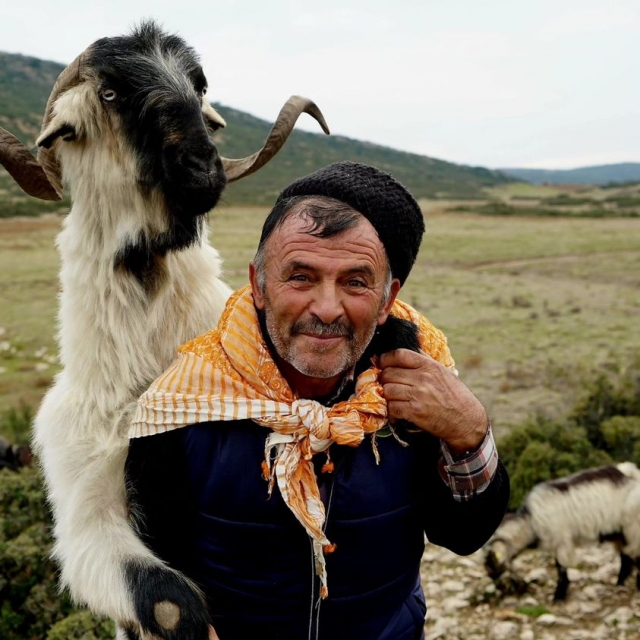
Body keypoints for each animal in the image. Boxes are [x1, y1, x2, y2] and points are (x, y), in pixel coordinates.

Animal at [0, 20, 330, 640]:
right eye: (110, 94)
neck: (144, 371)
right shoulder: (88, 505)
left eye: (198, 85)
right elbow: (171, 604)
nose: (202, 168)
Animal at [484, 460, 640, 600]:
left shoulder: (562, 540)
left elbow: (561, 568)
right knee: (626, 557)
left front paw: (558, 596)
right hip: (620, 532)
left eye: (493, 564)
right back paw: (619, 583)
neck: (531, 522)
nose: (500, 588)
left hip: (632, 526)